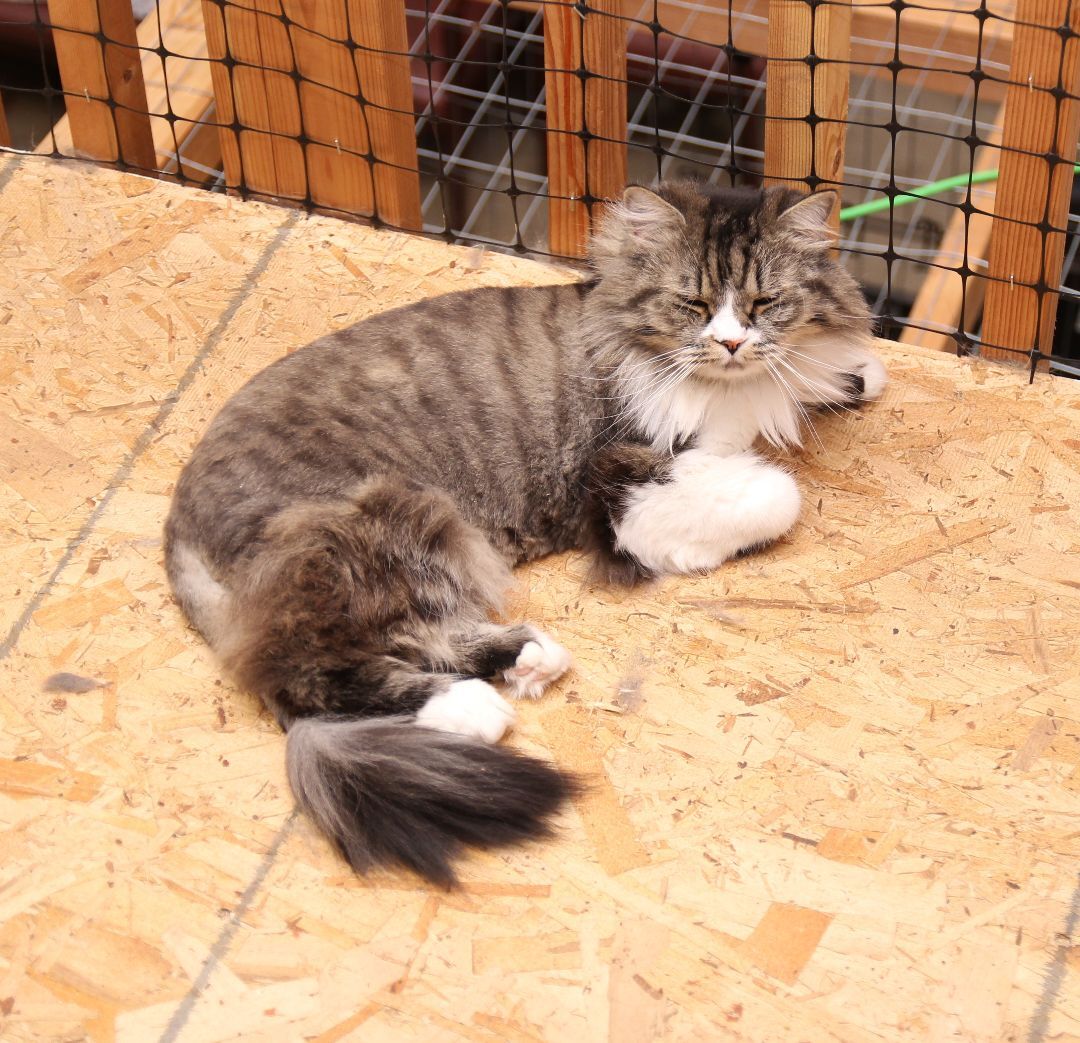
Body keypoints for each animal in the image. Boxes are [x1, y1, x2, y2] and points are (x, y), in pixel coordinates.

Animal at [162, 179, 885, 889]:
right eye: (695, 304)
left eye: (765, 302)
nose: (732, 344)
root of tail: (179, 522)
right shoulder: (622, 476)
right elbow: (777, 495)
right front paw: (698, 544)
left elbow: (824, 374)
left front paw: (856, 373)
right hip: (392, 525)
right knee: (311, 676)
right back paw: (471, 707)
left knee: (420, 638)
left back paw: (529, 659)